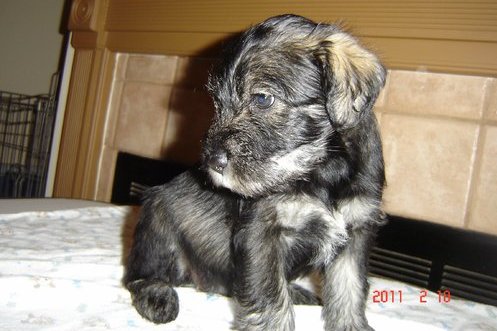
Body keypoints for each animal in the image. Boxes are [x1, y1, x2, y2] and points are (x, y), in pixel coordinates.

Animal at [123, 13, 384, 331]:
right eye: (217, 102)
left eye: (262, 99)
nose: (212, 161)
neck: (322, 169)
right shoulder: (262, 232)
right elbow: (270, 298)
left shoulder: (355, 230)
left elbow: (349, 288)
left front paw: (351, 325)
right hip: (155, 222)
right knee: (140, 274)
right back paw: (157, 295)